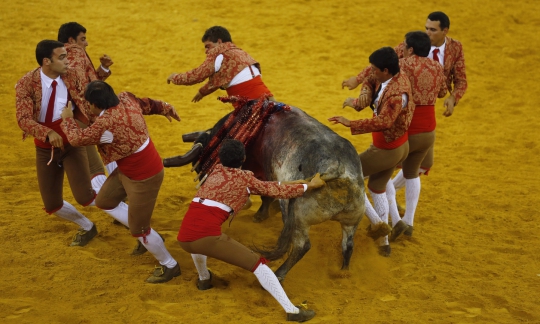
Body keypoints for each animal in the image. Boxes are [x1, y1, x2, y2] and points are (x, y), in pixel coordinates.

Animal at [165, 99, 364, 280]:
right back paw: (343, 272)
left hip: (299, 220)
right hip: (351, 219)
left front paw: (260, 215)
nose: (203, 179)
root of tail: (336, 167)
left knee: (302, 246)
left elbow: (266, 196)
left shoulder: (266, 173)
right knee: (348, 245)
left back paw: (280, 273)